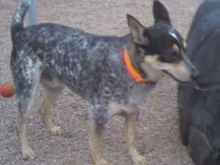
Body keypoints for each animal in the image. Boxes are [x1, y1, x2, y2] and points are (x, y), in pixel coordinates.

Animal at [10, 0, 199, 164]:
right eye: (172, 55)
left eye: (185, 48)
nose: (197, 74)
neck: (129, 69)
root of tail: (21, 31)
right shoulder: (97, 117)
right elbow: (97, 148)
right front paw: (101, 161)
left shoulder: (132, 113)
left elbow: (131, 139)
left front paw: (136, 157)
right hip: (27, 90)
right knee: (19, 123)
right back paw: (25, 150)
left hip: (55, 86)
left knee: (43, 110)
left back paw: (52, 128)